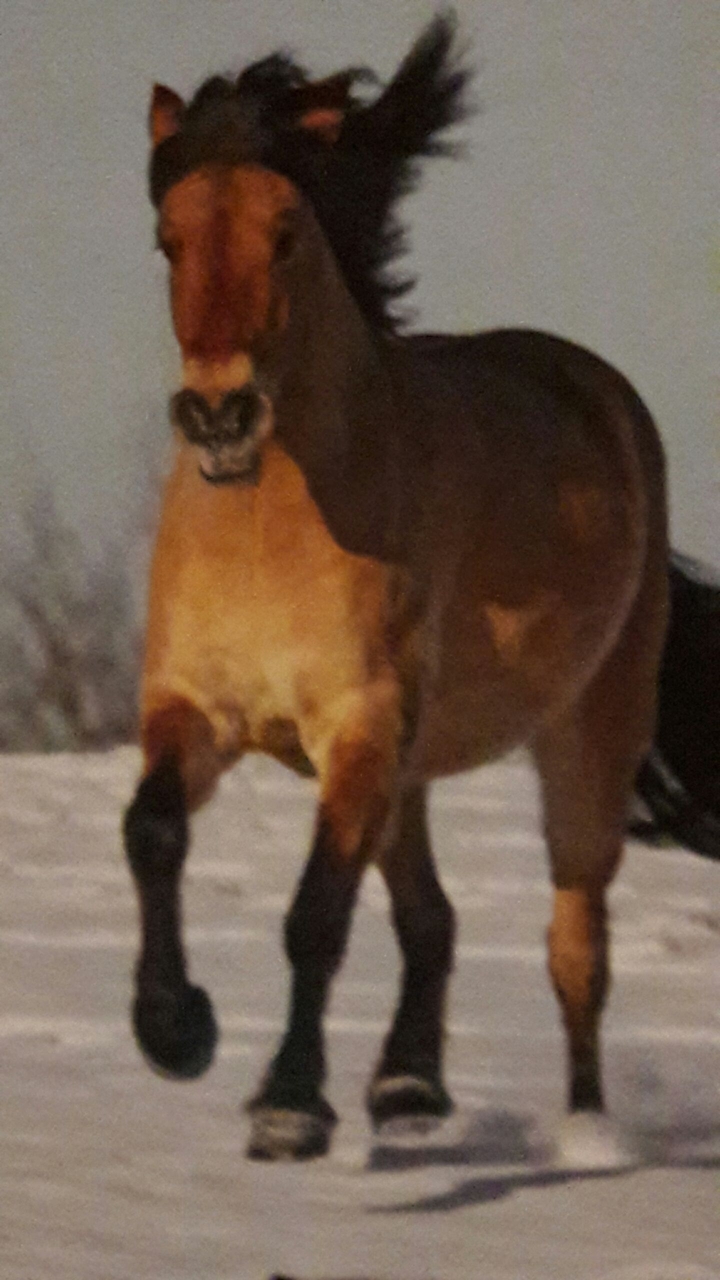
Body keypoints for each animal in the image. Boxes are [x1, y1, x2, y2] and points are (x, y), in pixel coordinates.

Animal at [124, 15, 669, 1161]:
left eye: (288, 231)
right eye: (168, 239)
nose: (219, 415)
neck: (268, 526)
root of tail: (600, 391)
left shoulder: (358, 723)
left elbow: (315, 914)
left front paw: (289, 1106)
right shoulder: (198, 708)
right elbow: (151, 833)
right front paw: (174, 1030)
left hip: (583, 740)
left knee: (576, 947)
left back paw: (587, 1133)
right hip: (409, 775)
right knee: (435, 917)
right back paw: (410, 1088)